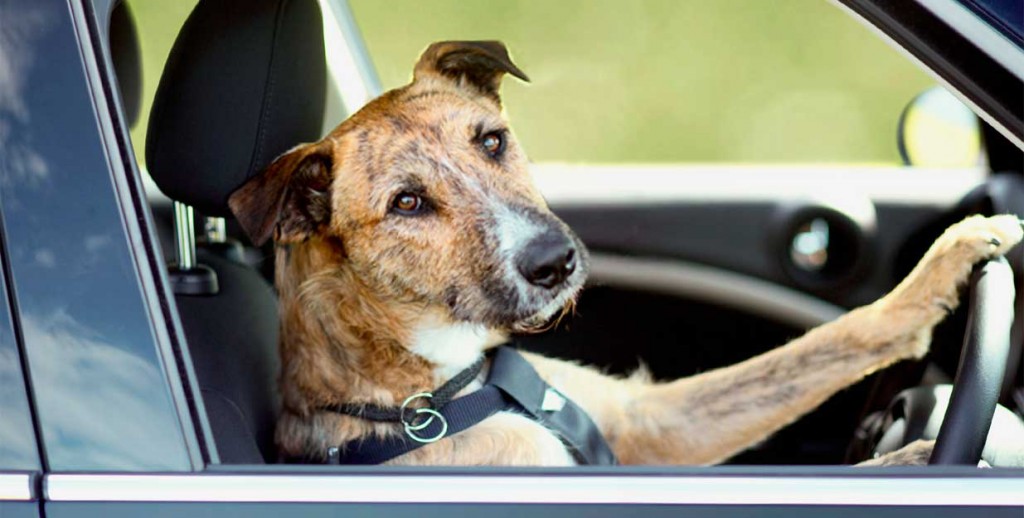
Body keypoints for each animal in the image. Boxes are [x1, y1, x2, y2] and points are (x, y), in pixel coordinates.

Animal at [230, 42, 1024, 466]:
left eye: (492, 140)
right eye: (406, 203)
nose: (555, 261)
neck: (441, 394)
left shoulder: (649, 423)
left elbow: (823, 346)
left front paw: (947, 261)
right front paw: (926, 457)